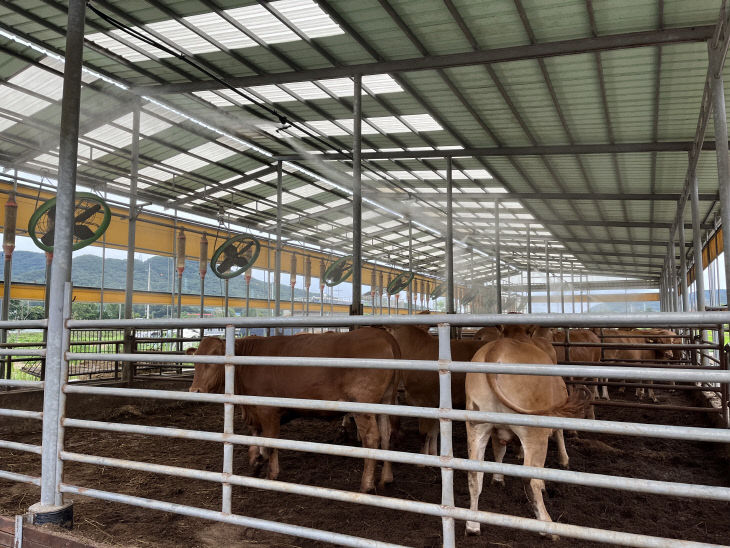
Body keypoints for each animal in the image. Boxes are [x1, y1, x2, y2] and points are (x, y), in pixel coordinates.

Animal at [185, 328, 396, 494]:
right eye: (194, 362)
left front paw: (270, 473)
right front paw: (255, 460)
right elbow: (258, 437)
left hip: (362, 405)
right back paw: (386, 478)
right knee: (386, 435)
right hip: (385, 401)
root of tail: (382, 334)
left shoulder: (267, 410)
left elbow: (270, 442)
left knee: (371, 439)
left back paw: (366, 485)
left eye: (214, 361)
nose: (195, 391)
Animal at [464, 328, 588, 532]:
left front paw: (498, 479)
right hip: (534, 431)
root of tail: (498, 348)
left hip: (477, 426)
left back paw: (473, 525)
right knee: (532, 479)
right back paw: (547, 524)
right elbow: (559, 434)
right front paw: (564, 460)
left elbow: (499, 451)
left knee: (474, 474)